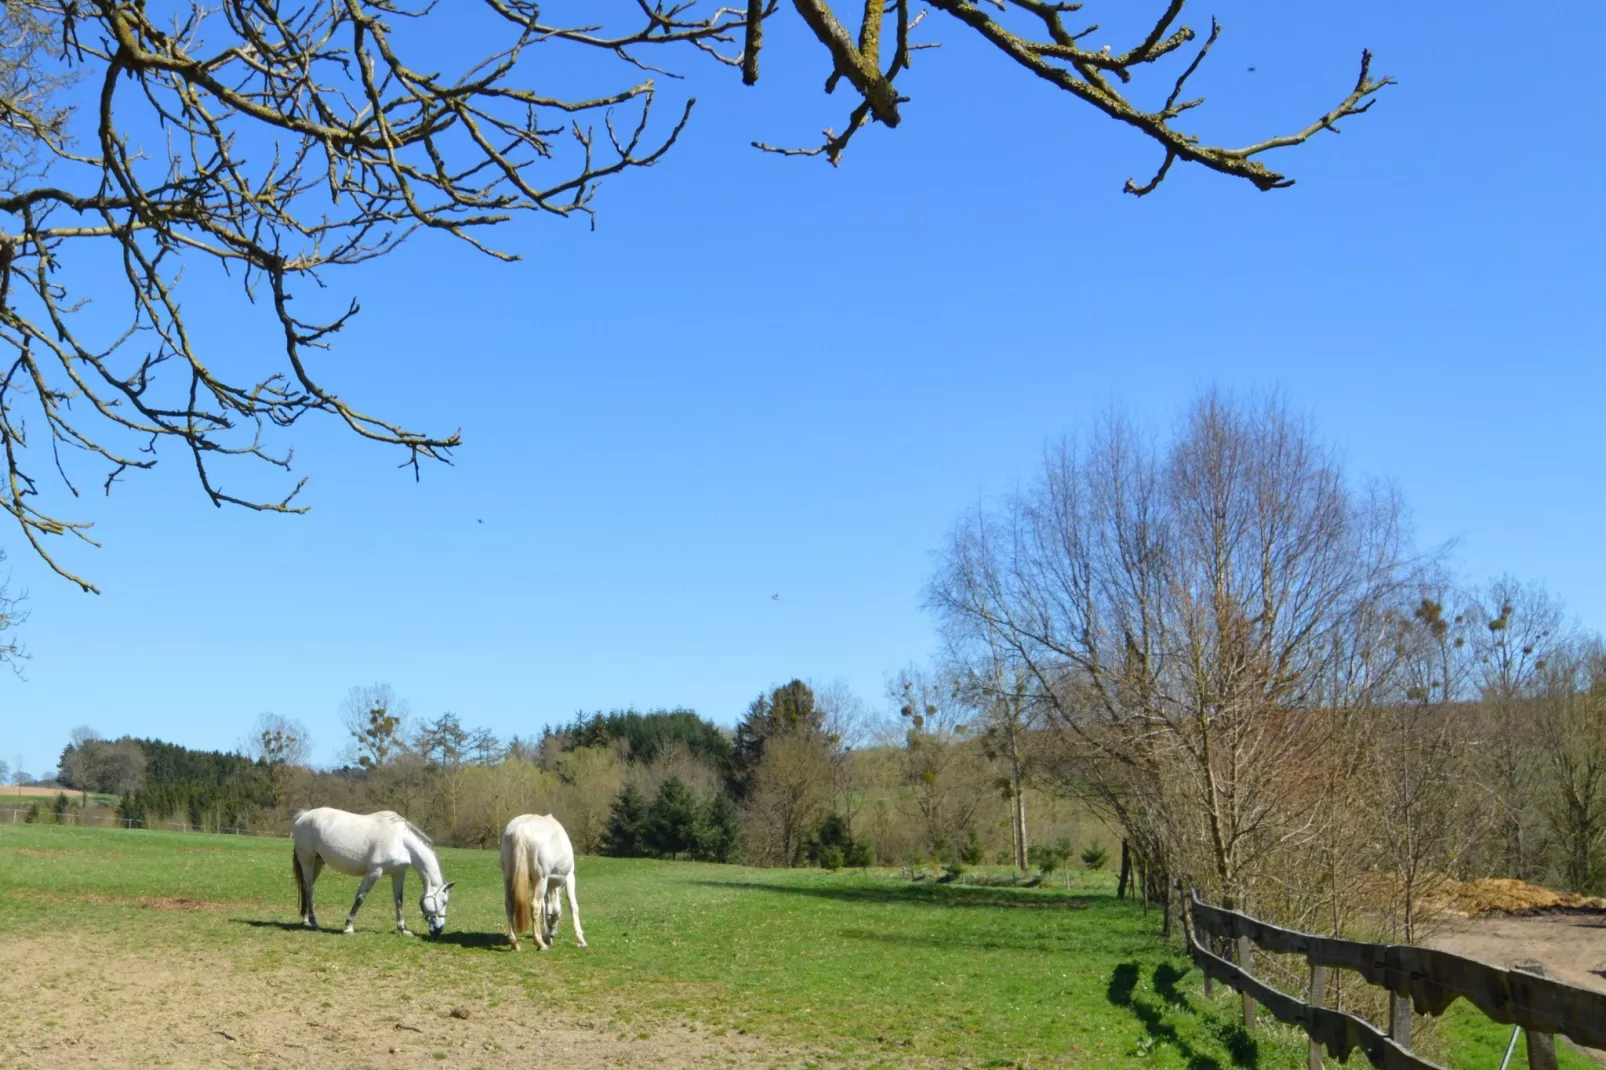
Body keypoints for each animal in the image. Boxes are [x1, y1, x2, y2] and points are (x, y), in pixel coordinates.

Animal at [285, 809, 452, 931]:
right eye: (444, 901)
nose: (439, 930)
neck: (401, 840)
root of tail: (303, 816)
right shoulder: (374, 872)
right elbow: (360, 897)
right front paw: (348, 926)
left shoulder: (398, 873)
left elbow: (399, 900)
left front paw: (403, 929)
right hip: (307, 860)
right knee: (309, 888)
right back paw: (313, 922)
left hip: (318, 862)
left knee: (307, 888)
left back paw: (306, 920)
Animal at [497, 809, 587, 951]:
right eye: (554, 918)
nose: (552, 934)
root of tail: (521, 830)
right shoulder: (569, 877)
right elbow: (573, 906)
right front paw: (581, 940)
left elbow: (545, 908)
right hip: (541, 879)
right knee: (535, 906)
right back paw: (540, 943)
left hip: (508, 878)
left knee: (509, 905)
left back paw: (515, 943)